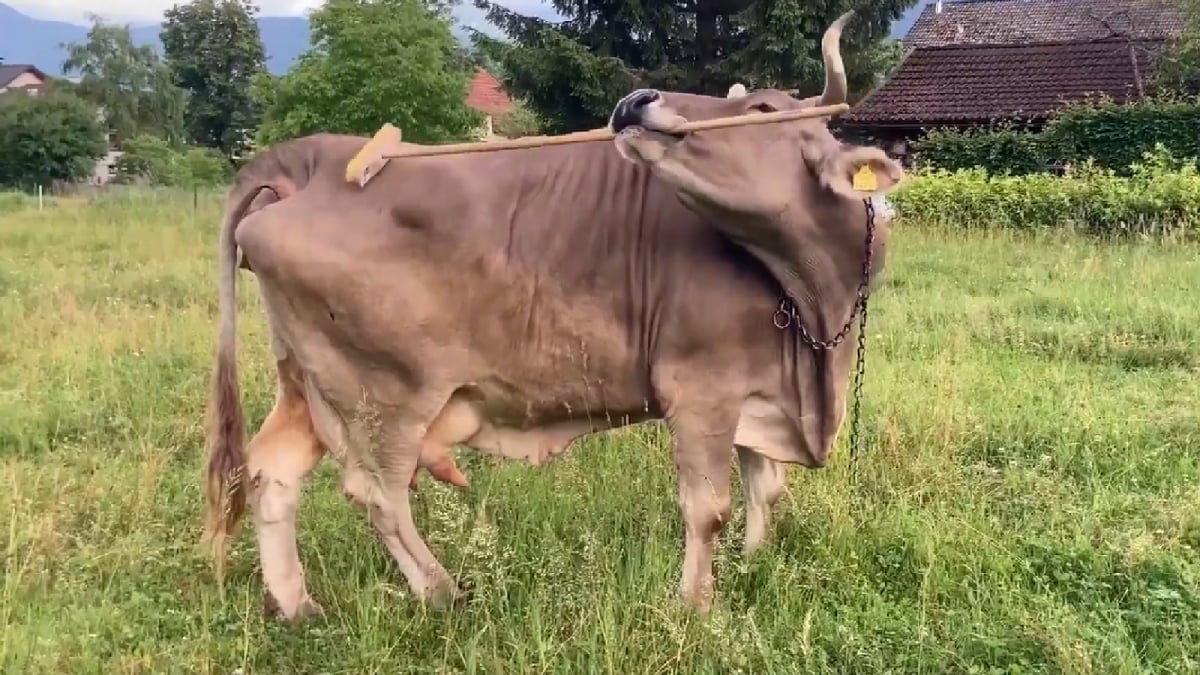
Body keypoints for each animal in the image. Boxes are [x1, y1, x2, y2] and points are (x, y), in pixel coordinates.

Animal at [201, 9, 904, 621]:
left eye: (762, 110)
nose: (636, 99)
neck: (814, 304)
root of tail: (312, 157)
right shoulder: (701, 388)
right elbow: (708, 507)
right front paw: (697, 607)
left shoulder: (760, 388)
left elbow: (766, 486)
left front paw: (755, 564)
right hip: (383, 394)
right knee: (377, 493)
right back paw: (443, 593)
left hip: (307, 381)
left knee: (271, 472)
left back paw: (299, 606)